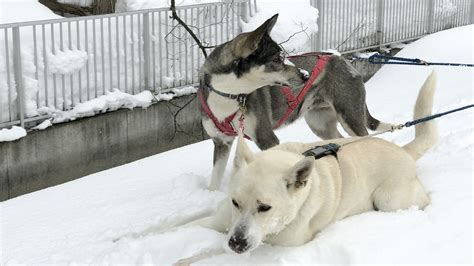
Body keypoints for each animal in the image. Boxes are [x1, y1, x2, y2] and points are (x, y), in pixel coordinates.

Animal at [177, 71, 436, 264]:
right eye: (235, 202)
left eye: (265, 208)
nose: (237, 243)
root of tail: (404, 151)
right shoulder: (221, 219)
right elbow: (180, 226)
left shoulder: (266, 245)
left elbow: (206, 254)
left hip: (388, 200)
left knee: (422, 199)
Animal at [198, 14, 390, 190]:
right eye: (277, 59)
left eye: (284, 56)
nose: (306, 75)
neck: (229, 95)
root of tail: (343, 60)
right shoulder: (221, 142)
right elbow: (214, 183)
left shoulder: (267, 138)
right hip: (320, 124)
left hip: (349, 116)